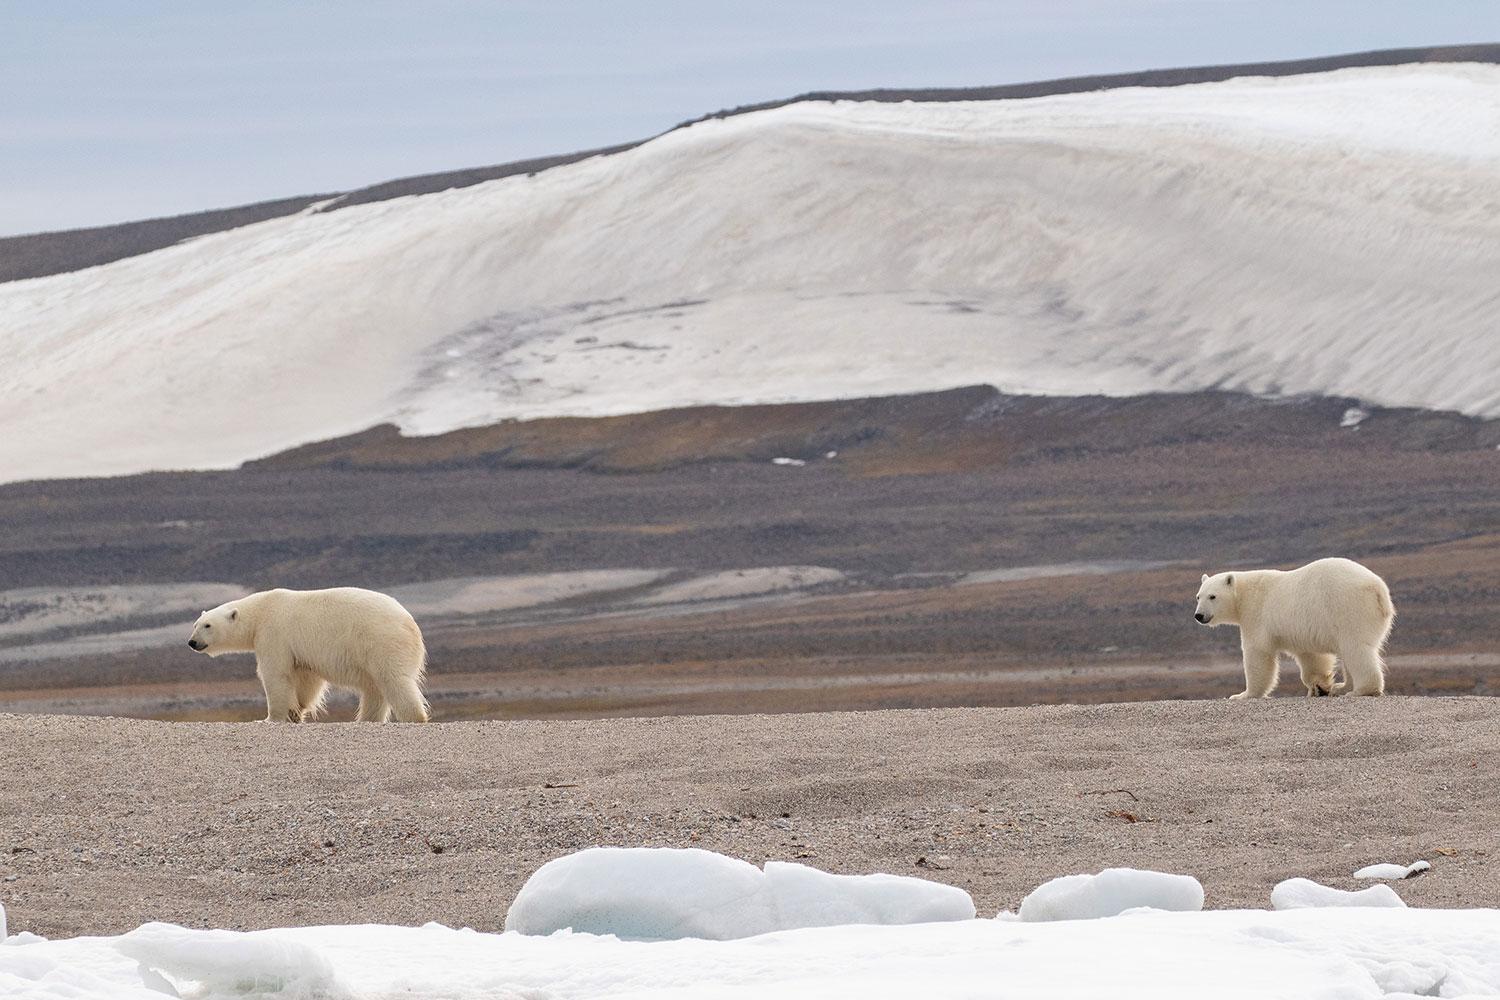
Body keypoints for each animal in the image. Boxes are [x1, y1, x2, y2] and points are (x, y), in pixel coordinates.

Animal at [187, 587, 430, 722]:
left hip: (381, 642)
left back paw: (415, 718)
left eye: (208, 625)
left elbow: (275, 673)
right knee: (374, 690)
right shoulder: (299, 649)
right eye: (195, 624)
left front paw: (270, 718)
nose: (192, 642)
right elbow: (306, 678)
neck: (261, 610)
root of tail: (411, 625)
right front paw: (296, 711)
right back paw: (366, 720)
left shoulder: (274, 633)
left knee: (393, 681)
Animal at [1194, 557, 1395, 699]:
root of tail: (1378, 589)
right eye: (1198, 596)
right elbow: (1312, 657)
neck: (1243, 595)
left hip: (1349, 608)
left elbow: (1258, 653)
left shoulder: (1256, 614)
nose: (1199, 615)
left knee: (1355, 648)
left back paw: (1360, 690)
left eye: (1212, 596)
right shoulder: (1303, 631)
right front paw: (1319, 687)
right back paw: (1342, 687)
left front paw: (1243, 694)